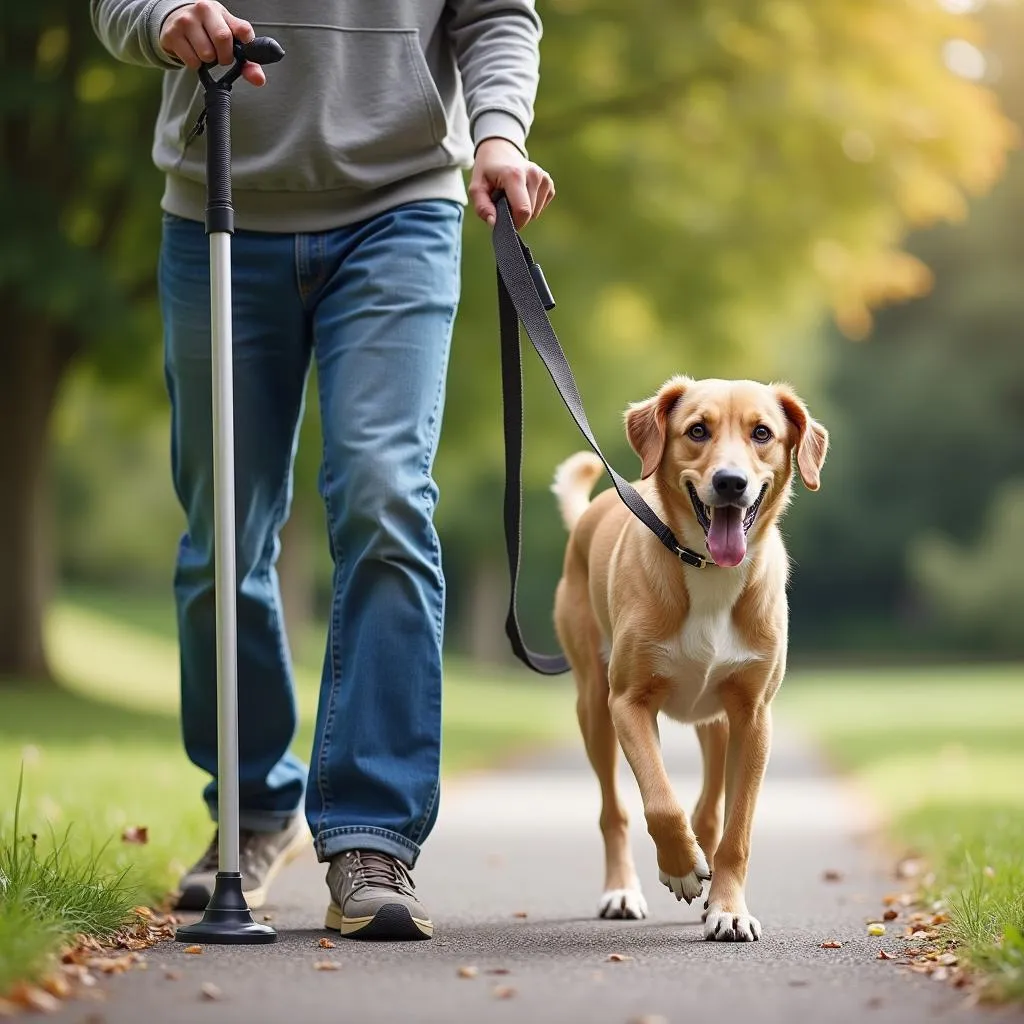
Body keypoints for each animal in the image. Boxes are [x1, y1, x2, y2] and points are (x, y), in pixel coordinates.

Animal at [548, 376, 827, 942]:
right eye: (697, 430)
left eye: (762, 433)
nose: (730, 482)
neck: (708, 571)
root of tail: (592, 511)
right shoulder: (628, 703)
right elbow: (659, 801)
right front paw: (678, 866)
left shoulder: (753, 716)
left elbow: (736, 827)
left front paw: (728, 909)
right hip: (593, 707)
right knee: (613, 811)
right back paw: (623, 890)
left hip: (715, 722)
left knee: (711, 809)